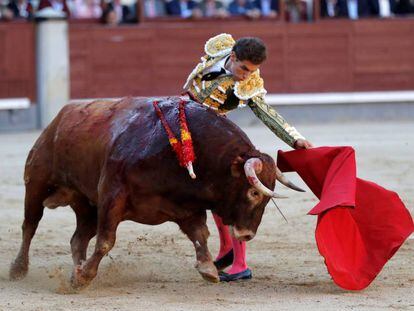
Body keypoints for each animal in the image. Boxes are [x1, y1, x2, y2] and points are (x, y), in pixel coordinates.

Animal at [8, 96, 300, 288]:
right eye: (253, 193)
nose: (247, 234)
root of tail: (59, 118)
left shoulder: (188, 207)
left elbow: (200, 235)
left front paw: (208, 269)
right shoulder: (112, 195)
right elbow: (106, 241)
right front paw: (87, 276)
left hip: (86, 205)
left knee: (77, 239)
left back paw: (75, 271)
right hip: (37, 185)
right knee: (30, 225)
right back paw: (19, 269)